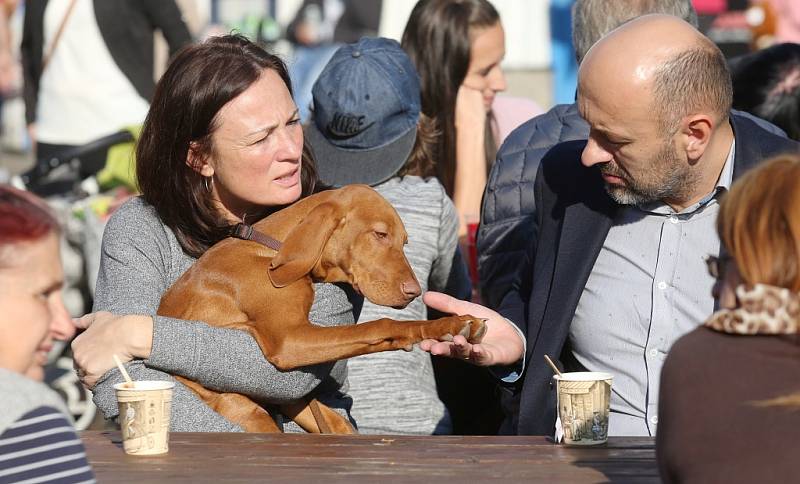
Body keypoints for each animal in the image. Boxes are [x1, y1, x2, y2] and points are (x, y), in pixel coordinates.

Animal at [155, 184, 482, 432]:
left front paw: (448, 325)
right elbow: (379, 326)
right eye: (380, 234)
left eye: (404, 242)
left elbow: (333, 420)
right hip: (246, 412)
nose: (414, 293)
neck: (271, 250)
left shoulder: (296, 397)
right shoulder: (290, 340)